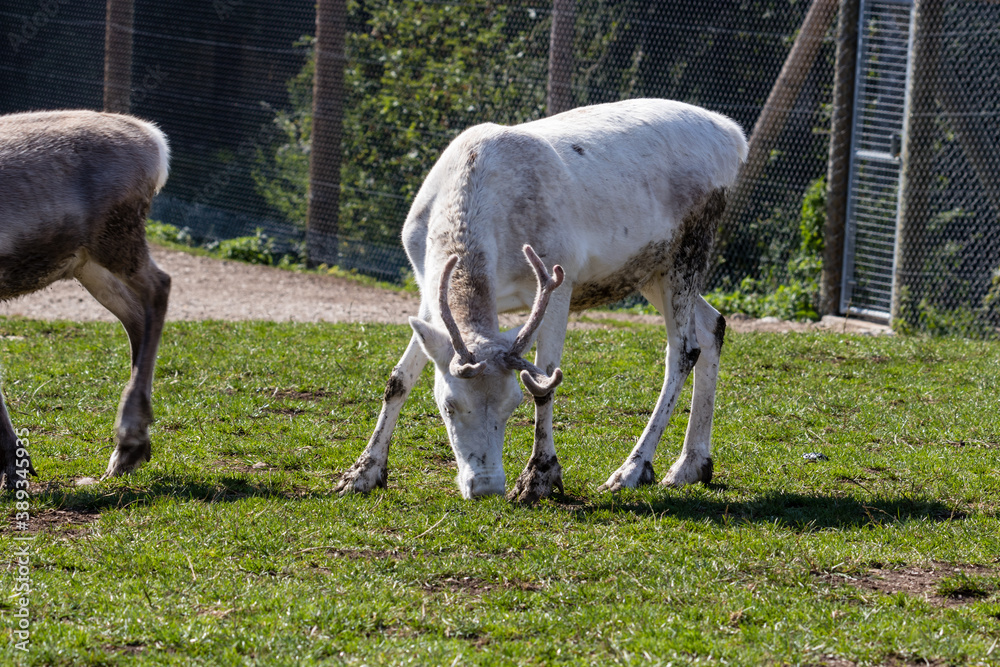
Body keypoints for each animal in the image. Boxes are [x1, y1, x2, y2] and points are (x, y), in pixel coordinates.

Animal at [0, 110, 172, 490]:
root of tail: (154, 140)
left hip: (116, 241)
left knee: (159, 287)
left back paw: (127, 442)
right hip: (87, 264)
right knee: (136, 317)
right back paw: (132, 449)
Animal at [335, 99, 748, 502]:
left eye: (512, 403)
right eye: (448, 406)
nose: (486, 487)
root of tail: (735, 138)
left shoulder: (559, 279)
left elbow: (546, 380)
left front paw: (538, 478)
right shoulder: (428, 295)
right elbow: (399, 379)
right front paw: (360, 474)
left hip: (690, 247)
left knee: (683, 349)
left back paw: (631, 471)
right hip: (650, 270)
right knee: (713, 324)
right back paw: (691, 465)